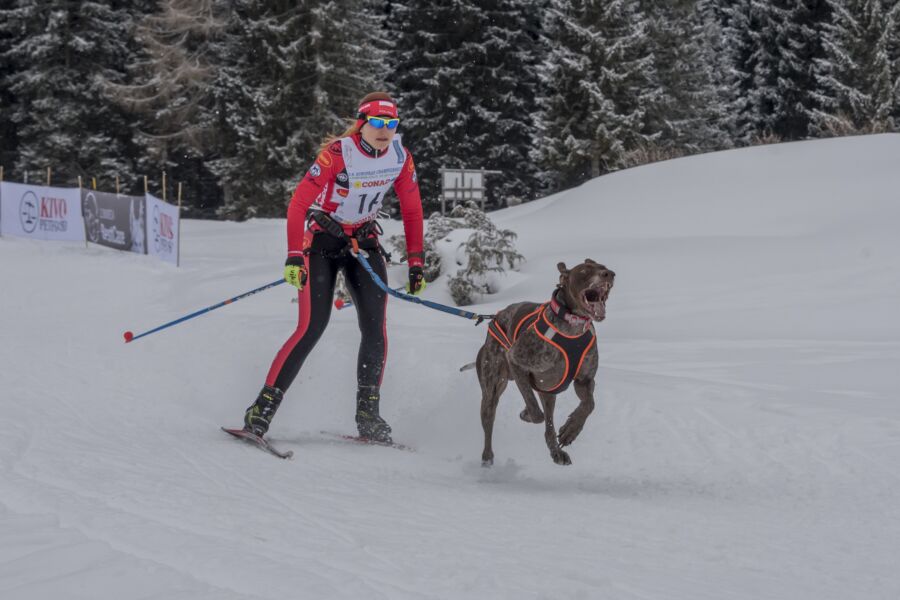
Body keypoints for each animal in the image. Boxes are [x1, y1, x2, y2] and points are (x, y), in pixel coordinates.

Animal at [478, 260, 612, 466]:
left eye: (603, 266)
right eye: (584, 270)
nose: (610, 274)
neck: (571, 326)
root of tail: (496, 317)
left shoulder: (584, 381)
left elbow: (589, 404)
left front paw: (571, 430)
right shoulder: (516, 361)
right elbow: (535, 412)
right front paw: (527, 413)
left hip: (548, 390)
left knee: (549, 427)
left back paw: (556, 451)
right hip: (492, 390)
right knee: (489, 422)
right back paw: (487, 457)